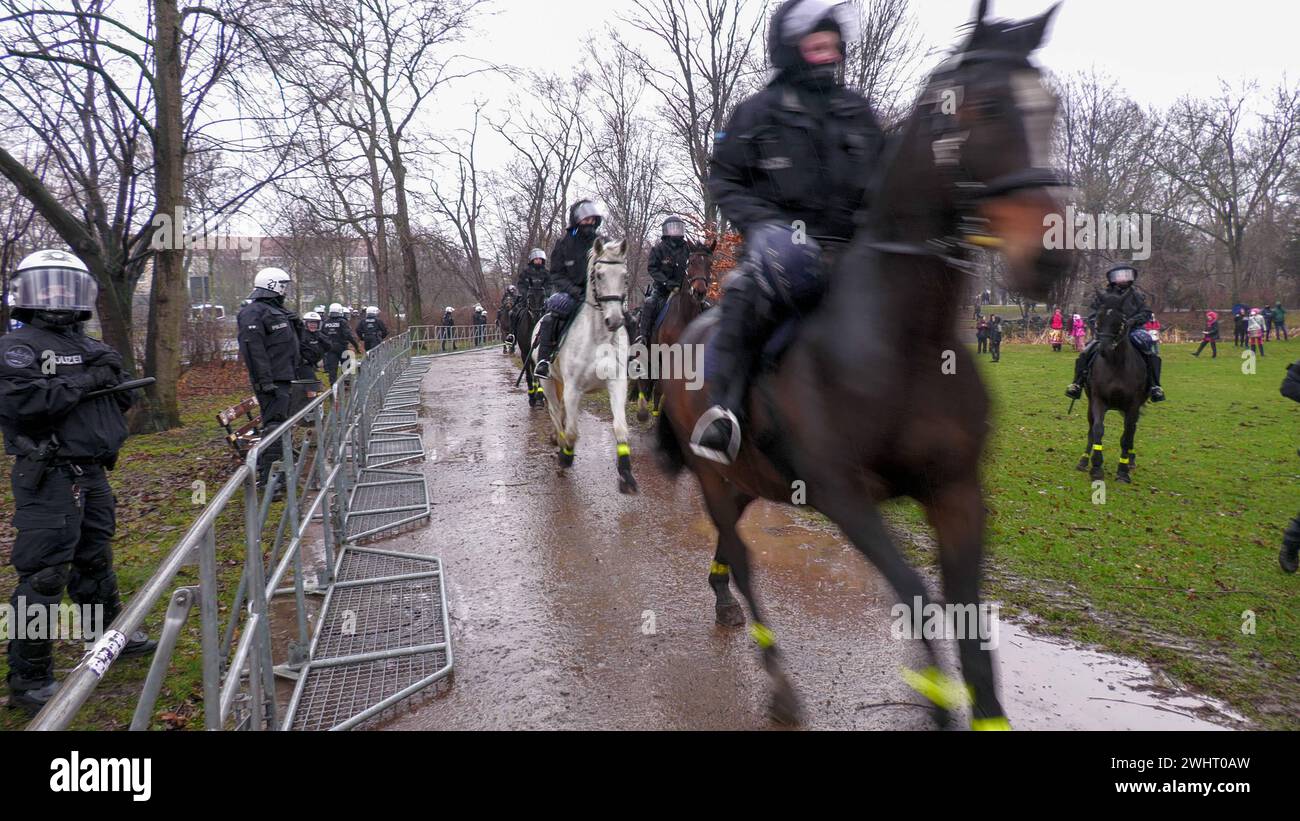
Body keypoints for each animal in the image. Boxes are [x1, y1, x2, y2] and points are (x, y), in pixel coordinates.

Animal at [530, 237, 637, 493]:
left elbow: (620, 427)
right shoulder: (573, 388)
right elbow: (572, 431)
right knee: (555, 411)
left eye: (625, 275)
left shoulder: (617, 383)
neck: (599, 339)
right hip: (548, 382)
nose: (614, 320)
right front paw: (565, 457)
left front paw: (626, 472)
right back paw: (559, 442)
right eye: (598, 275)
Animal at [634, 241, 717, 423]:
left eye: (710, 264)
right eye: (691, 262)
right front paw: (656, 415)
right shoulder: (665, 355)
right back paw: (642, 412)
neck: (684, 315)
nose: (699, 291)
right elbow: (660, 386)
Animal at [655, 1, 1071, 732]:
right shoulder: (845, 497)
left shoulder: (957, 491)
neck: (903, 345)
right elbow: (916, 594)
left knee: (730, 555)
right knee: (743, 559)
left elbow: (969, 624)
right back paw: (777, 683)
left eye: (1048, 107)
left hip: (744, 481)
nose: (1050, 258)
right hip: (714, 479)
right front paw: (933, 699)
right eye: (991, 105)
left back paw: (724, 602)